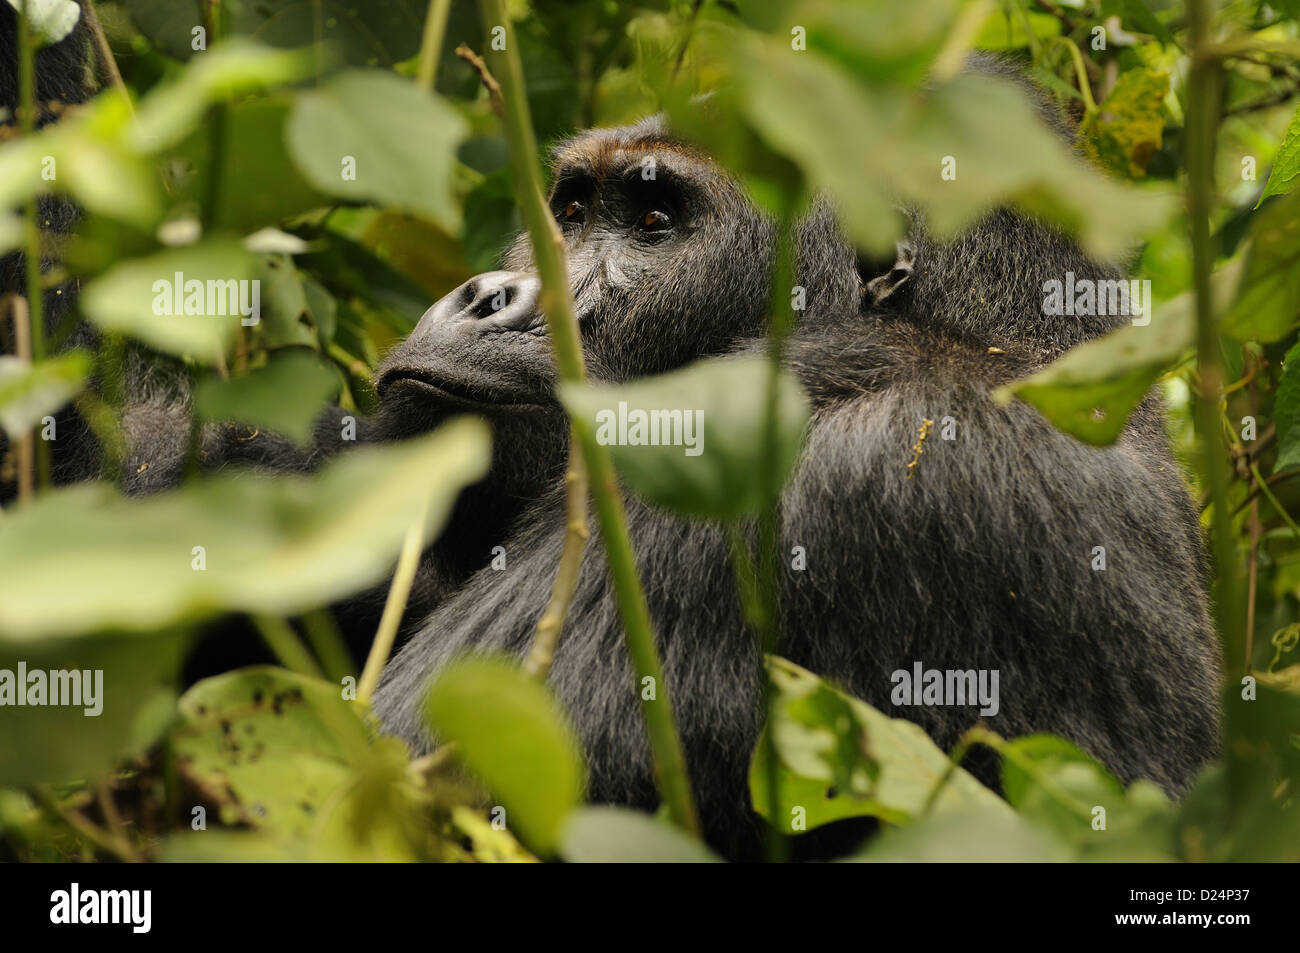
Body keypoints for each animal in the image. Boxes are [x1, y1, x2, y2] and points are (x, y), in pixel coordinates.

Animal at [0, 18, 1216, 858]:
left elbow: (393, 797)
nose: (488, 294)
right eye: (574, 206)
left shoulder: (807, 470)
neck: (995, 339)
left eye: (655, 220)